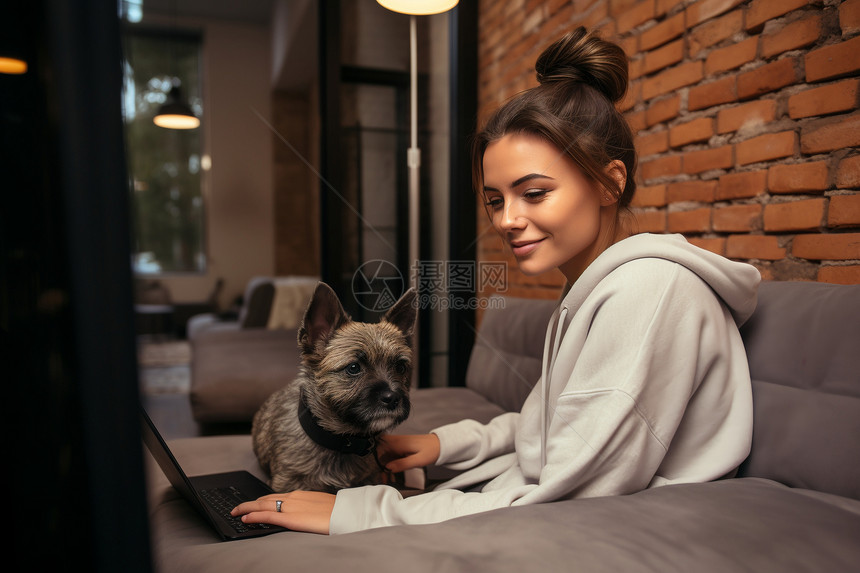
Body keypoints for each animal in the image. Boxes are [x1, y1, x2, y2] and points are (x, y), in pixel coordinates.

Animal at [252, 282, 416, 492]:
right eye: (353, 368)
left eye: (401, 367)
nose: (393, 398)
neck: (342, 442)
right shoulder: (287, 484)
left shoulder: (370, 479)